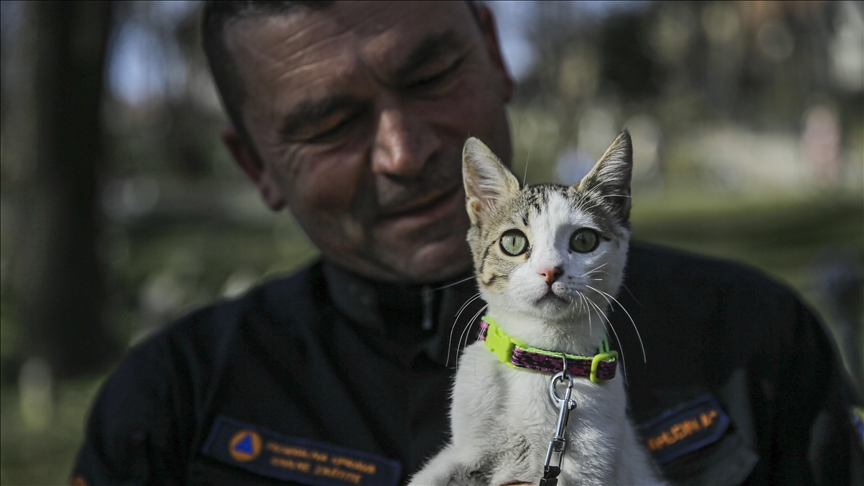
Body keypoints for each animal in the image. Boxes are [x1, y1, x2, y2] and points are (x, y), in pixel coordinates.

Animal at [408, 132, 664, 486]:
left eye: (584, 240)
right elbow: (428, 476)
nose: (550, 270)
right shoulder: (466, 451)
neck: (541, 360)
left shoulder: (593, 466)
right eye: (513, 242)